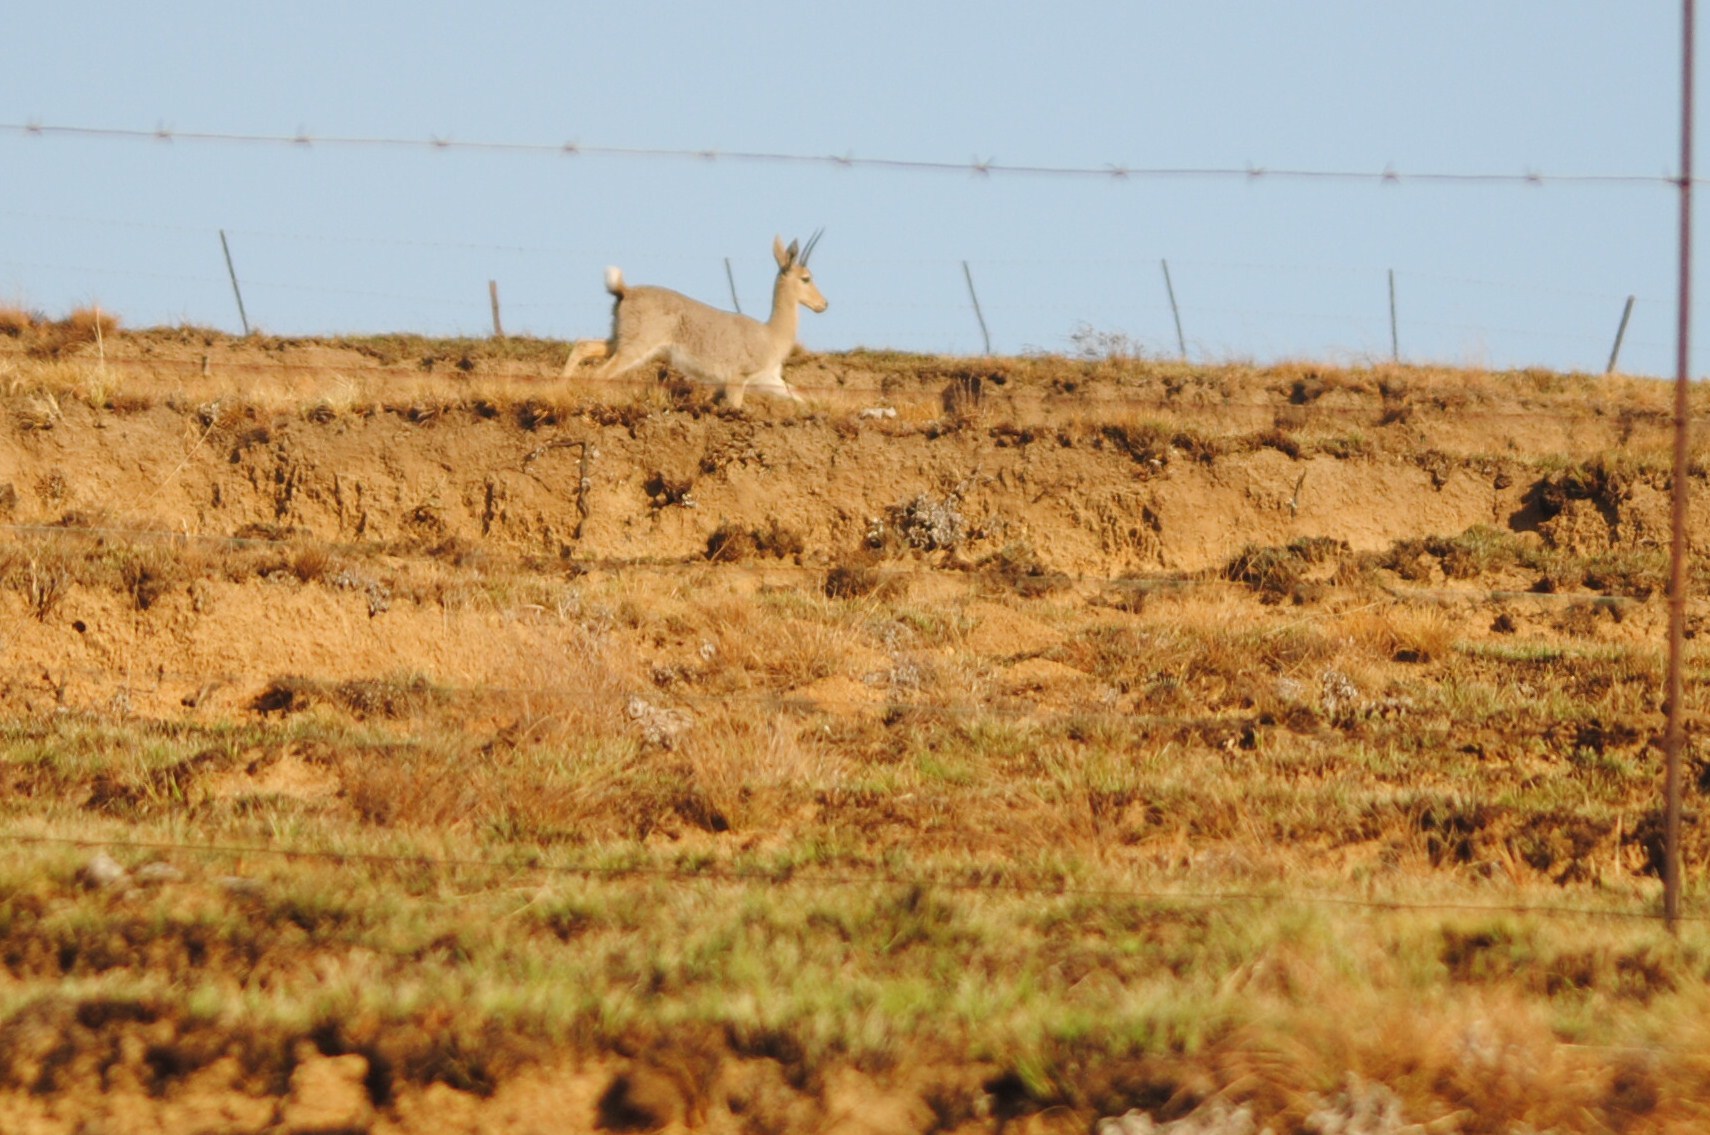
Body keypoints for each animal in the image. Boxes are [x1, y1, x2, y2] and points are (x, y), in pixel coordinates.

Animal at [560, 232, 827, 408]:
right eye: (806, 278)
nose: (823, 304)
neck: (771, 333)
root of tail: (625, 290)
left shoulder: (769, 380)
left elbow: (802, 396)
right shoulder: (736, 381)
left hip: (617, 339)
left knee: (584, 345)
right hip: (634, 348)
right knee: (599, 374)